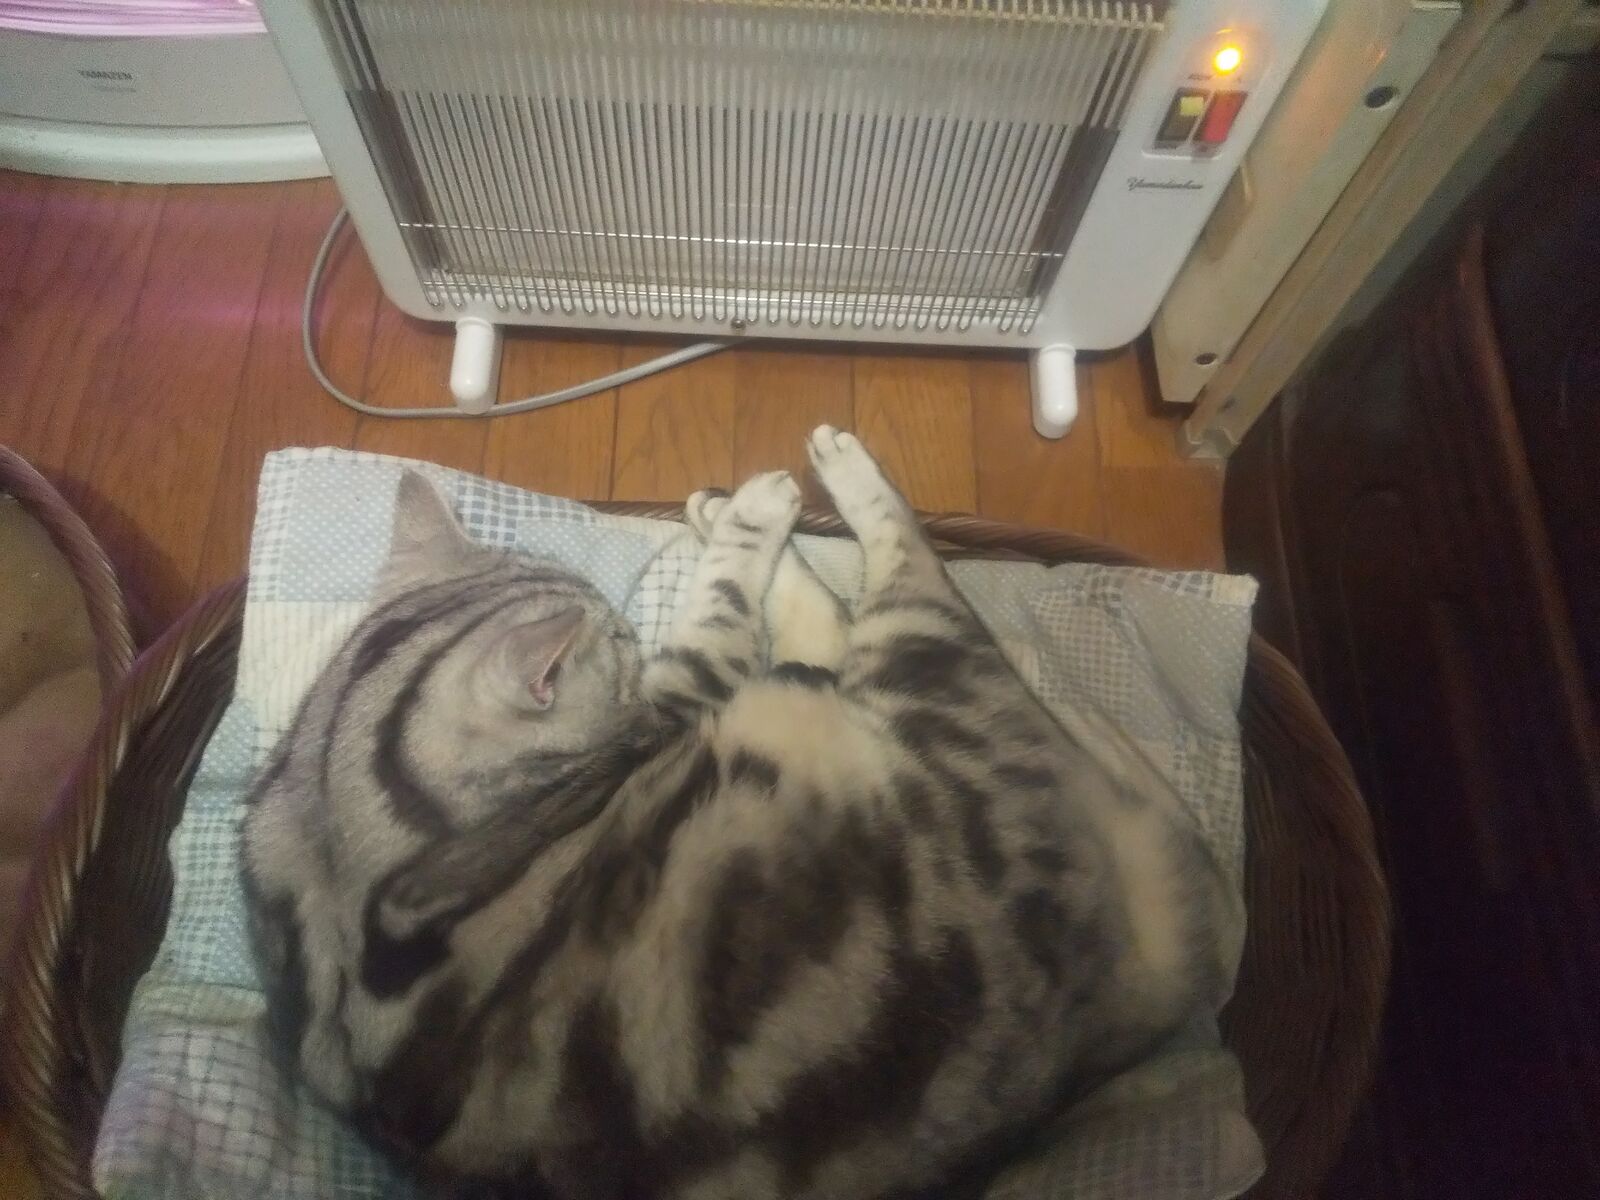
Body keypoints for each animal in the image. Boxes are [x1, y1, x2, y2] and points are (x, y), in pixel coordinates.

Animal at [240, 427, 1240, 1200]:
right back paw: (795, 483)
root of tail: (1110, 1015)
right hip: (922, 670)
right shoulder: (689, 692)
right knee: (895, 576)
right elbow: (725, 602)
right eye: (613, 639)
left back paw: (727, 503)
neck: (336, 822)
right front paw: (754, 522)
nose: (622, 625)